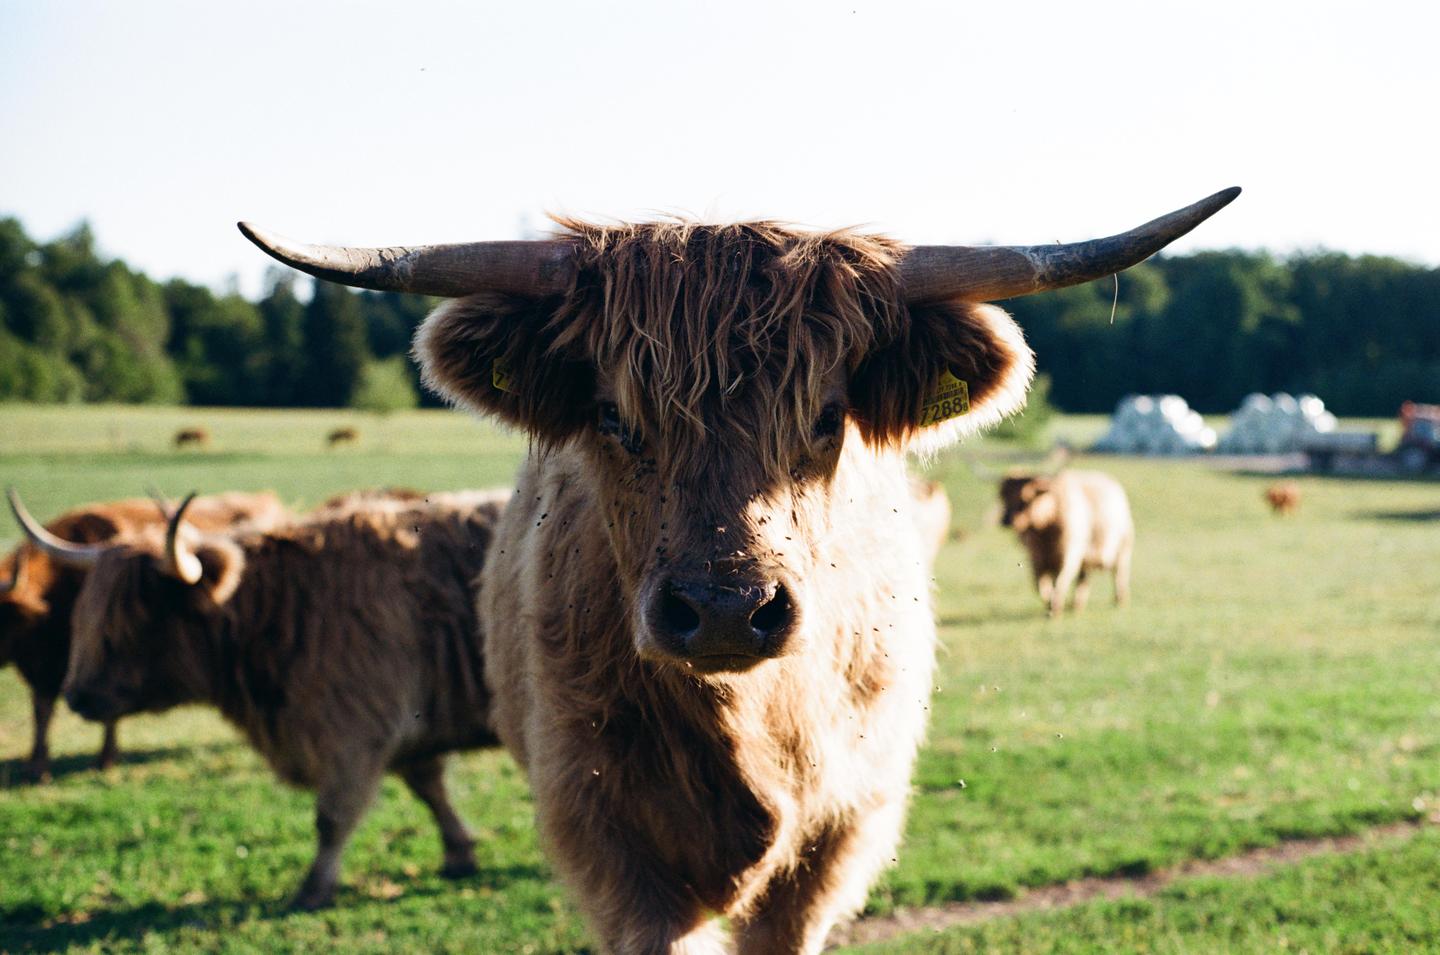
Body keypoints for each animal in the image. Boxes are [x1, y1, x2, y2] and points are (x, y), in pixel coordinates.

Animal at [59, 489, 508, 910]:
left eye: (136, 619)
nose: (77, 697)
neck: (282, 606)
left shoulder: (355, 731)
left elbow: (332, 817)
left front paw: (314, 889)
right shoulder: (403, 727)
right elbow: (429, 788)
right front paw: (459, 854)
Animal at [998, 470, 1134, 617]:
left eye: (1024, 499)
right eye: (1003, 498)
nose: (1005, 520)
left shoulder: (1067, 557)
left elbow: (1059, 582)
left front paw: (1055, 608)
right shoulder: (1037, 559)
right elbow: (1039, 585)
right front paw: (1049, 606)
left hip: (1123, 551)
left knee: (1119, 577)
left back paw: (1119, 602)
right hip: (1086, 561)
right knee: (1083, 581)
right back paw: (1076, 606)